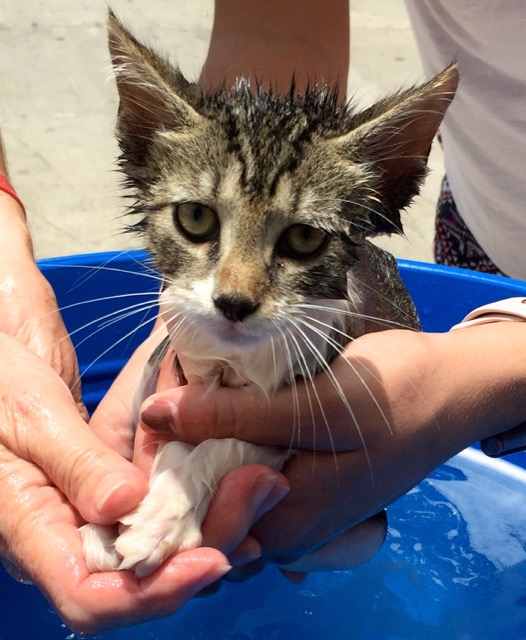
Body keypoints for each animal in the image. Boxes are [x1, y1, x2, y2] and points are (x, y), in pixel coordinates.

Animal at [78, 12, 458, 576]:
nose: (234, 302)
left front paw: (167, 509)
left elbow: (231, 442)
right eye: (196, 217)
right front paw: (111, 521)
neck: (229, 367)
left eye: (304, 238)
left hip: (363, 537)